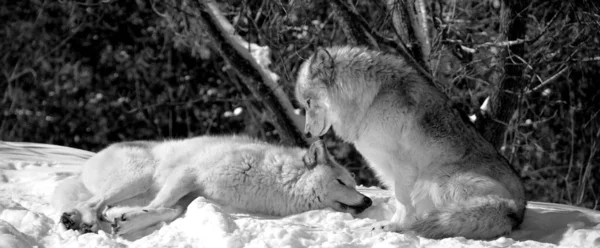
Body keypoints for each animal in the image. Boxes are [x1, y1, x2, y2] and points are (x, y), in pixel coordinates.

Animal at [52, 136, 370, 236]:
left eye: (355, 184)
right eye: (342, 182)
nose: (368, 201)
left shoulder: (191, 196)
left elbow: (169, 211)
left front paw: (131, 221)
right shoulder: (187, 174)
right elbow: (160, 206)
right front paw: (130, 219)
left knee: (90, 204)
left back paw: (79, 221)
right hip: (137, 177)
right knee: (91, 203)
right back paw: (84, 221)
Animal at [296, 45, 524, 239]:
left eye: (308, 102)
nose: (306, 134)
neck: (372, 100)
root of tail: (517, 210)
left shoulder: (401, 163)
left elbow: (402, 198)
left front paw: (394, 226)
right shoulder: (385, 166)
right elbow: (400, 198)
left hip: (441, 179)